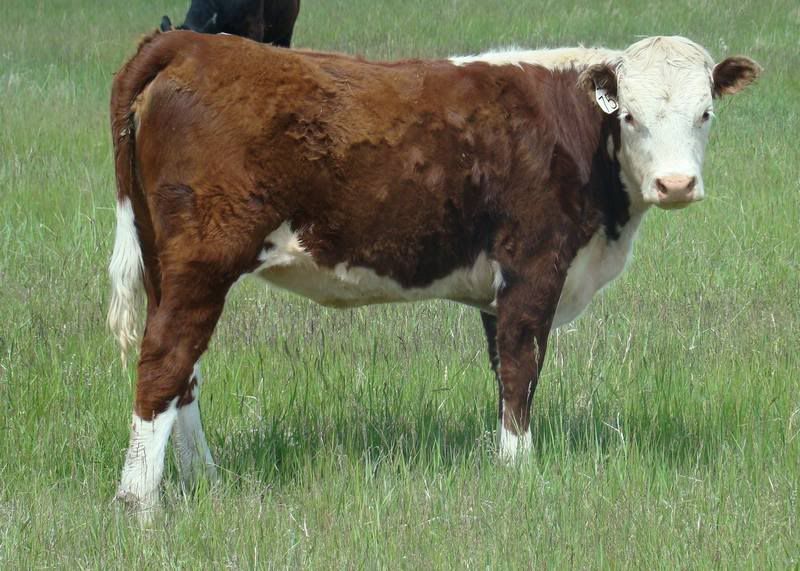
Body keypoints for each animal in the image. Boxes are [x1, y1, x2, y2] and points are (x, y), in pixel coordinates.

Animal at [108, 31, 759, 517]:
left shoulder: (497, 291)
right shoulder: (533, 269)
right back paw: (140, 503)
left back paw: (204, 479)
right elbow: (521, 370)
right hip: (203, 260)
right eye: (629, 116)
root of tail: (190, 44)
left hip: (163, 260)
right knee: (165, 359)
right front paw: (519, 472)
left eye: (705, 113)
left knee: (185, 374)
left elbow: (505, 372)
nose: (675, 184)